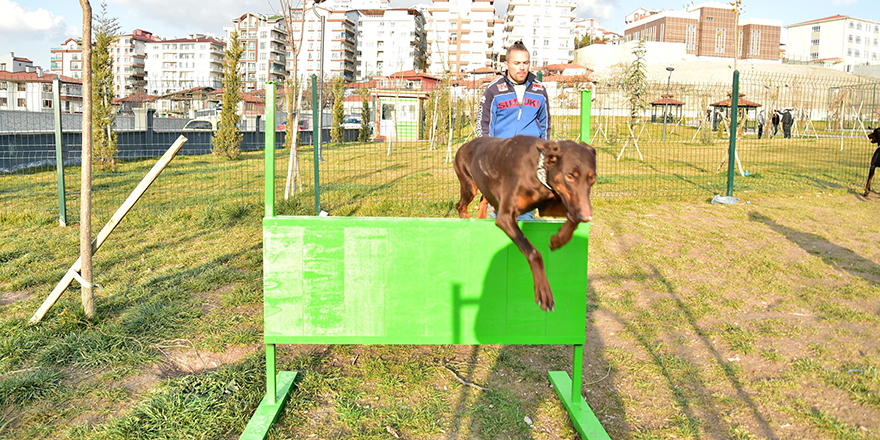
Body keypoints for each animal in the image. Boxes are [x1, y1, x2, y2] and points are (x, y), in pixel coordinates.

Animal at [454, 136, 600, 312]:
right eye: (570, 175)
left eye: (593, 179)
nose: (587, 216)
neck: (538, 170)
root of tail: (465, 144)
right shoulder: (505, 217)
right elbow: (533, 253)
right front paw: (543, 291)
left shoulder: (549, 206)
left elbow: (572, 218)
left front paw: (558, 240)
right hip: (469, 186)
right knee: (460, 204)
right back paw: (465, 217)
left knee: (483, 200)